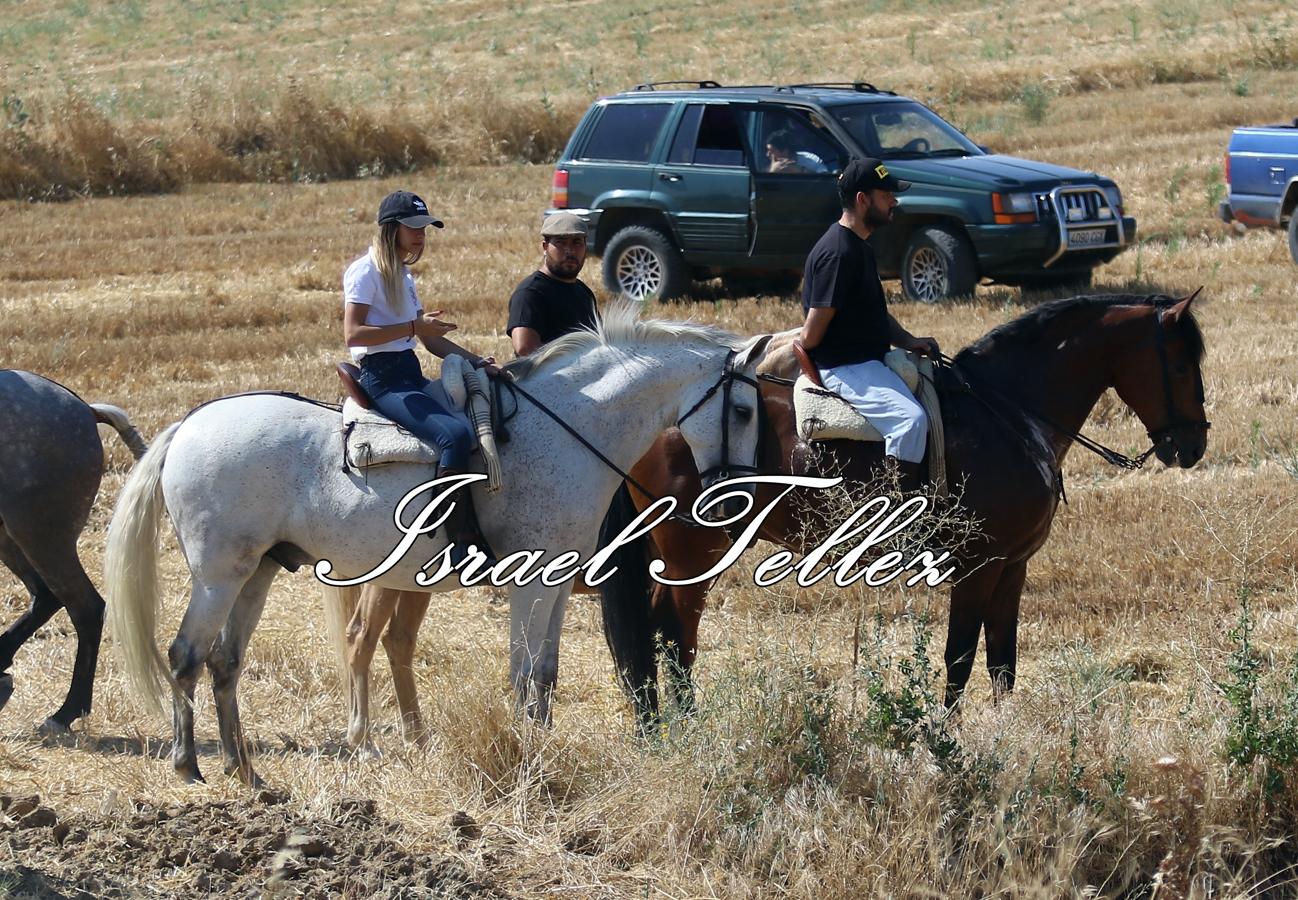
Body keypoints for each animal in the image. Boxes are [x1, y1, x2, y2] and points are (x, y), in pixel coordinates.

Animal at [0, 371, 147, 732]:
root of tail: (85, 410)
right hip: (17, 537)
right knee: (47, 597)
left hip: (39, 533)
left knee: (86, 607)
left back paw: (65, 713)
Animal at [109, 305, 768, 784]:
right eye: (742, 408)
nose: (730, 495)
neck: (564, 429)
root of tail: (189, 426)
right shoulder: (530, 583)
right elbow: (524, 675)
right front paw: (526, 757)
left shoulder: (556, 583)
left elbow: (546, 674)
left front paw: (542, 746)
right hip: (219, 576)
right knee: (186, 655)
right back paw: (189, 765)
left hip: (259, 574)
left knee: (225, 662)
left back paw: (244, 769)